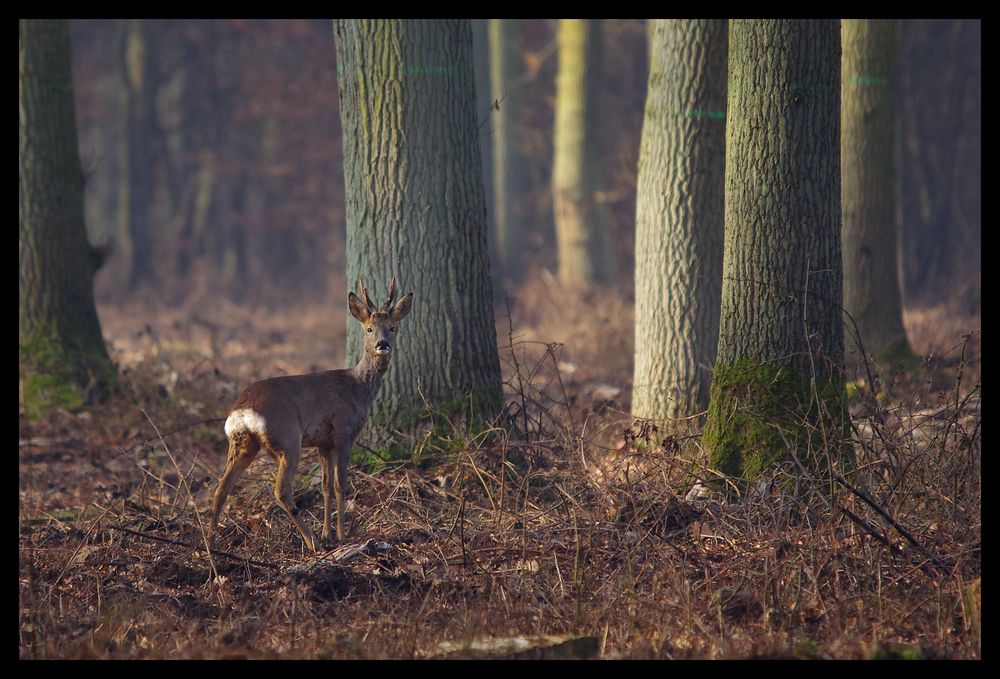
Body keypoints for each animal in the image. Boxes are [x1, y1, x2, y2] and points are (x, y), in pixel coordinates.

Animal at [209, 276, 412, 552]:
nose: (383, 345)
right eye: (369, 329)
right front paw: (341, 535)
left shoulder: (322, 442)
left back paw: (210, 545)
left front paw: (328, 534)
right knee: (281, 490)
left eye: (392, 327)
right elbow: (340, 484)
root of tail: (241, 410)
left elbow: (326, 486)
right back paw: (311, 540)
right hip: (287, 438)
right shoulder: (343, 431)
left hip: (243, 443)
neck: (357, 387)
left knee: (221, 489)